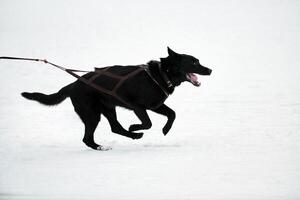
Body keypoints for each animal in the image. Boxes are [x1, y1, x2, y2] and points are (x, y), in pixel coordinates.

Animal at [21, 47, 211, 150]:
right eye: (194, 62)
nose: (210, 70)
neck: (161, 74)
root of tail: (73, 84)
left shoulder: (156, 105)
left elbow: (172, 114)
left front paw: (165, 130)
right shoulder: (138, 107)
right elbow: (148, 123)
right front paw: (134, 126)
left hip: (108, 109)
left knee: (116, 128)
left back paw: (134, 136)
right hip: (92, 114)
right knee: (88, 138)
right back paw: (104, 146)